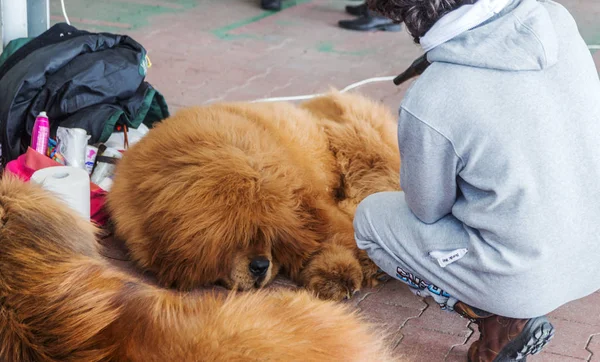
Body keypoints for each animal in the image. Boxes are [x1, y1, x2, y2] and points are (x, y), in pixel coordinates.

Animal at [107, 90, 400, 300]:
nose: (260, 265)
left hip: (363, 150)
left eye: (268, 233)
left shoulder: (310, 200)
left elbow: (336, 231)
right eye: (235, 235)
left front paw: (347, 268)